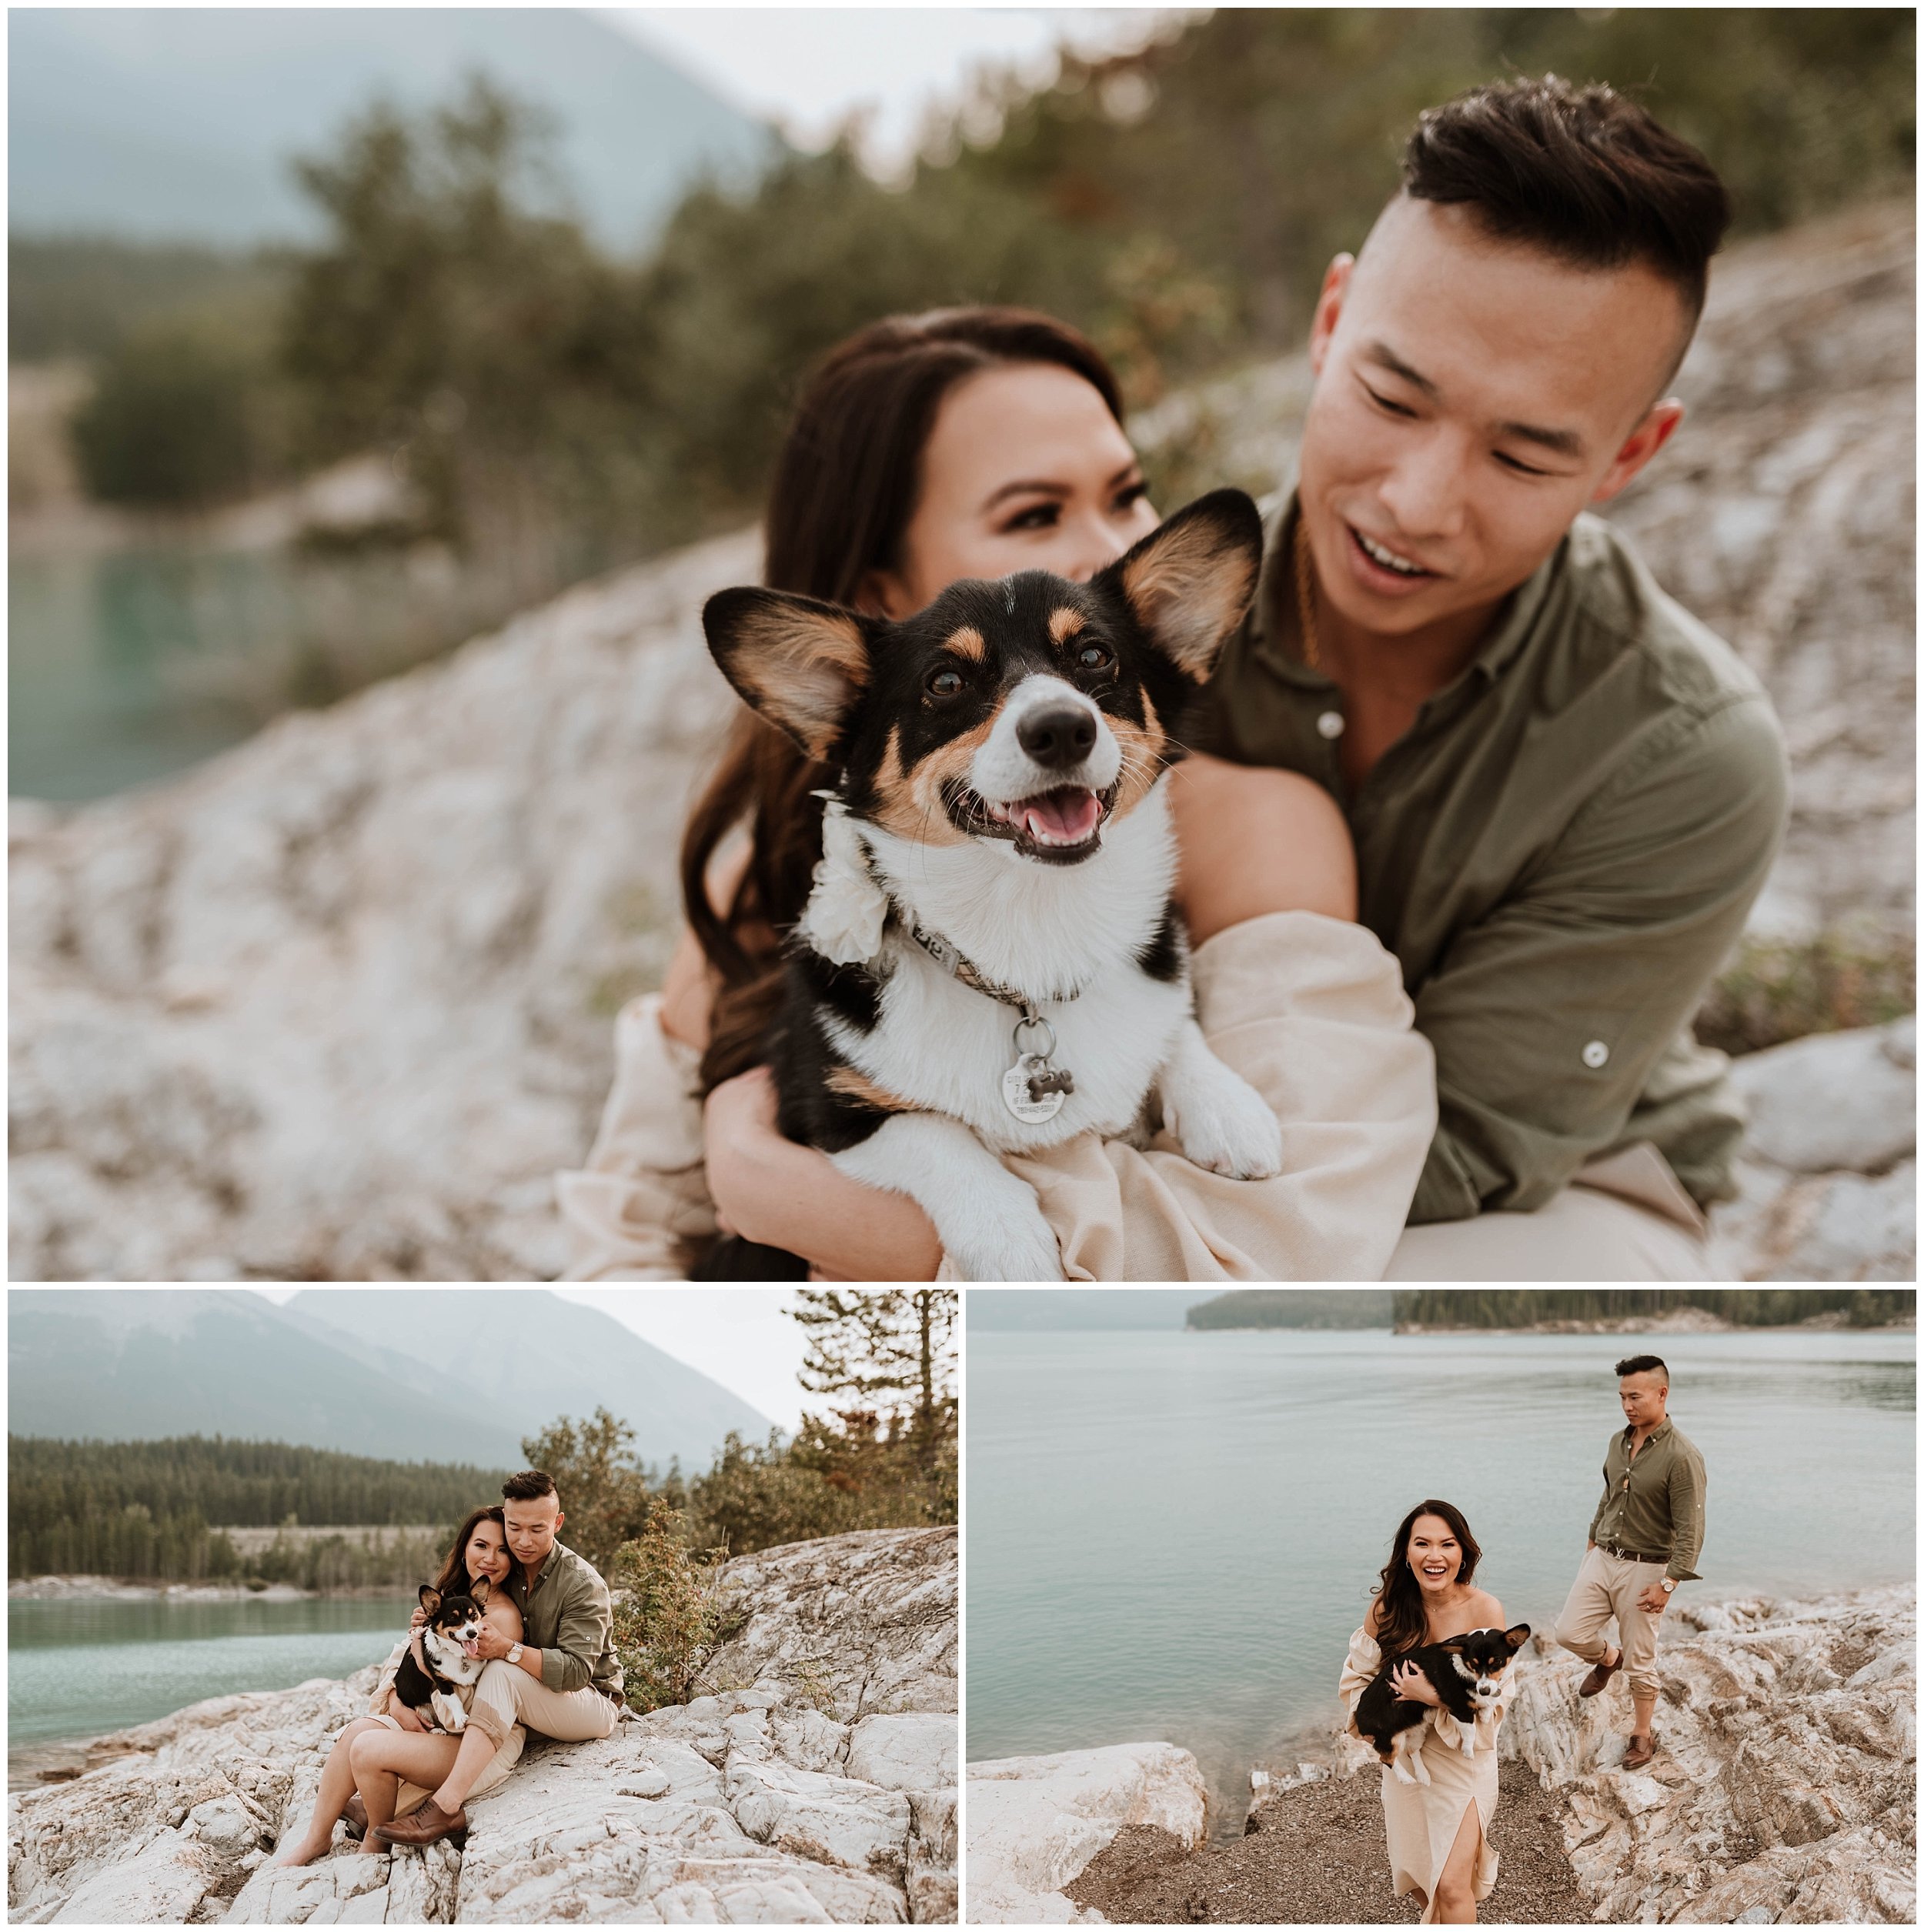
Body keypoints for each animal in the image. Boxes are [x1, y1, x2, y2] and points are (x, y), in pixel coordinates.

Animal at [388, 1584, 489, 1738]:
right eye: (452, 1617)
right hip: (419, 1708)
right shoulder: (440, 1682)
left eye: (474, 1615)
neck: (457, 1654)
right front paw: (460, 1718)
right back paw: (436, 1730)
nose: (473, 1633)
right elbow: (453, 1699)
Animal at [699, 481, 1282, 1275]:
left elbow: (1172, 1025)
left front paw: (1228, 1108)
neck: (1032, 930)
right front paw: (1010, 1242)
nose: (1062, 728)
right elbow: (937, 1137)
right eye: (946, 681)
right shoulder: (825, 1111)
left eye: (1094, 655)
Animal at [1352, 1623, 1529, 1785]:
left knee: (1412, 1751)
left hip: (1417, 1732)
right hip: (1390, 1738)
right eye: (1473, 1664)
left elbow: (1489, 1701)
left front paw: (1486, 1714)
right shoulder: (1459, 1709)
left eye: (1497, 1661)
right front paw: (1468, 1751)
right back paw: (1406, 1779)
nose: (1484, 1690)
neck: (1464, 1669)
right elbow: (1471, 1730)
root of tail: (1357, 1718)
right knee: (1387, 1758)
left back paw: (1423, 1776)